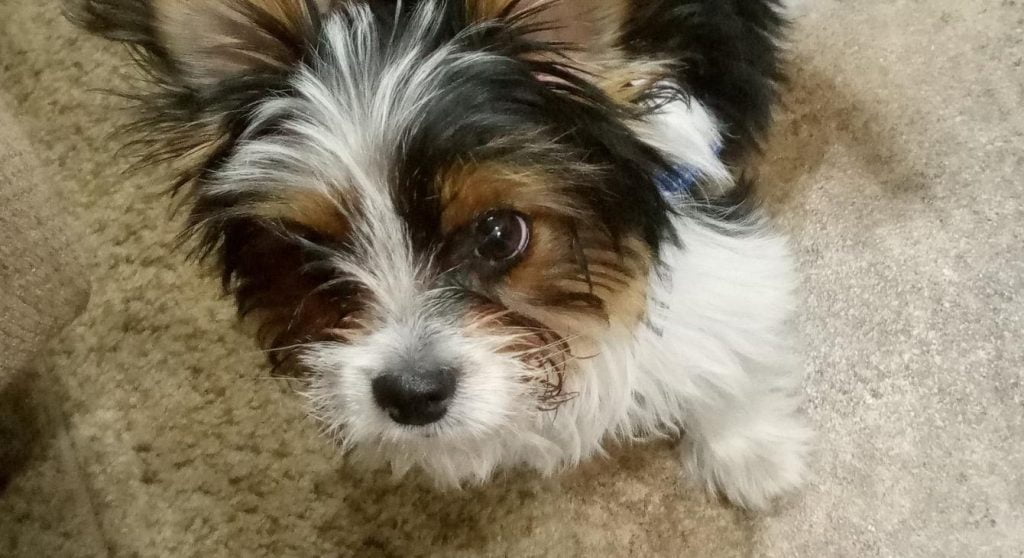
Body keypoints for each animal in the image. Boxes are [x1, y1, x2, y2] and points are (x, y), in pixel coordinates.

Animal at [68, 0, 811, 507]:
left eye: (499, 234)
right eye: (314, 254)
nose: (411, 396)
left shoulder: (711, 223)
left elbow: (731, 341)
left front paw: (748, 454)